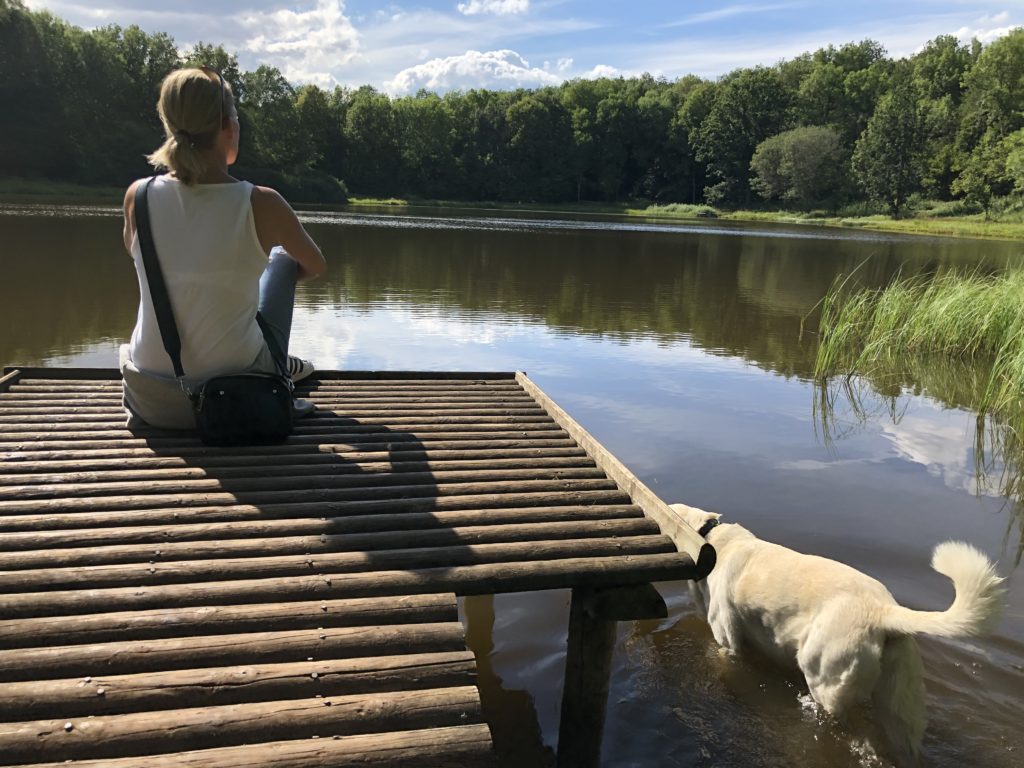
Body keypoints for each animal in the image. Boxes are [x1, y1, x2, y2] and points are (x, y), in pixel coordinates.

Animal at [667, 505, 1003, 765]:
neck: (710, 539)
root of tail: (883, 611)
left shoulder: (729, 642)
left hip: (824, 679)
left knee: (851, 728)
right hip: (901, 707)